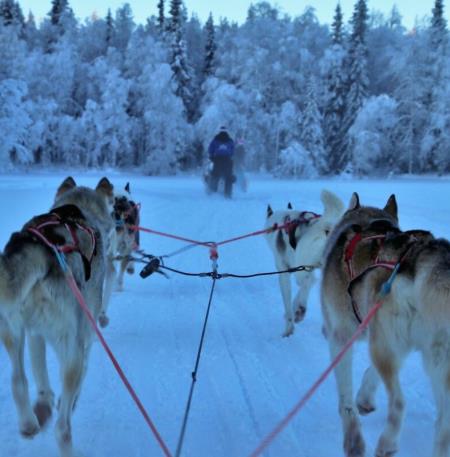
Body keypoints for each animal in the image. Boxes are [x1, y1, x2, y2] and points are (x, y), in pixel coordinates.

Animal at [0, 175, 115, 456]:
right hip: (70, 346)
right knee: (62, 429)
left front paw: (44, 402)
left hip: (11, 330)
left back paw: (29, 423)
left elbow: (40, 375)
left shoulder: (34, 333)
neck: (78, 210)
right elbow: (81, 374)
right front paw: (67, 401)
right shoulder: (85, 336)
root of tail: (43, 248)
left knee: (18, 381)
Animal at [264, 189, 344, 334]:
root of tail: (326, 225)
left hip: (302, 265)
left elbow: (290, 300)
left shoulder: (285, 272)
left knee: (305, 282)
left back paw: (300, 310)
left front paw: (289, 326)